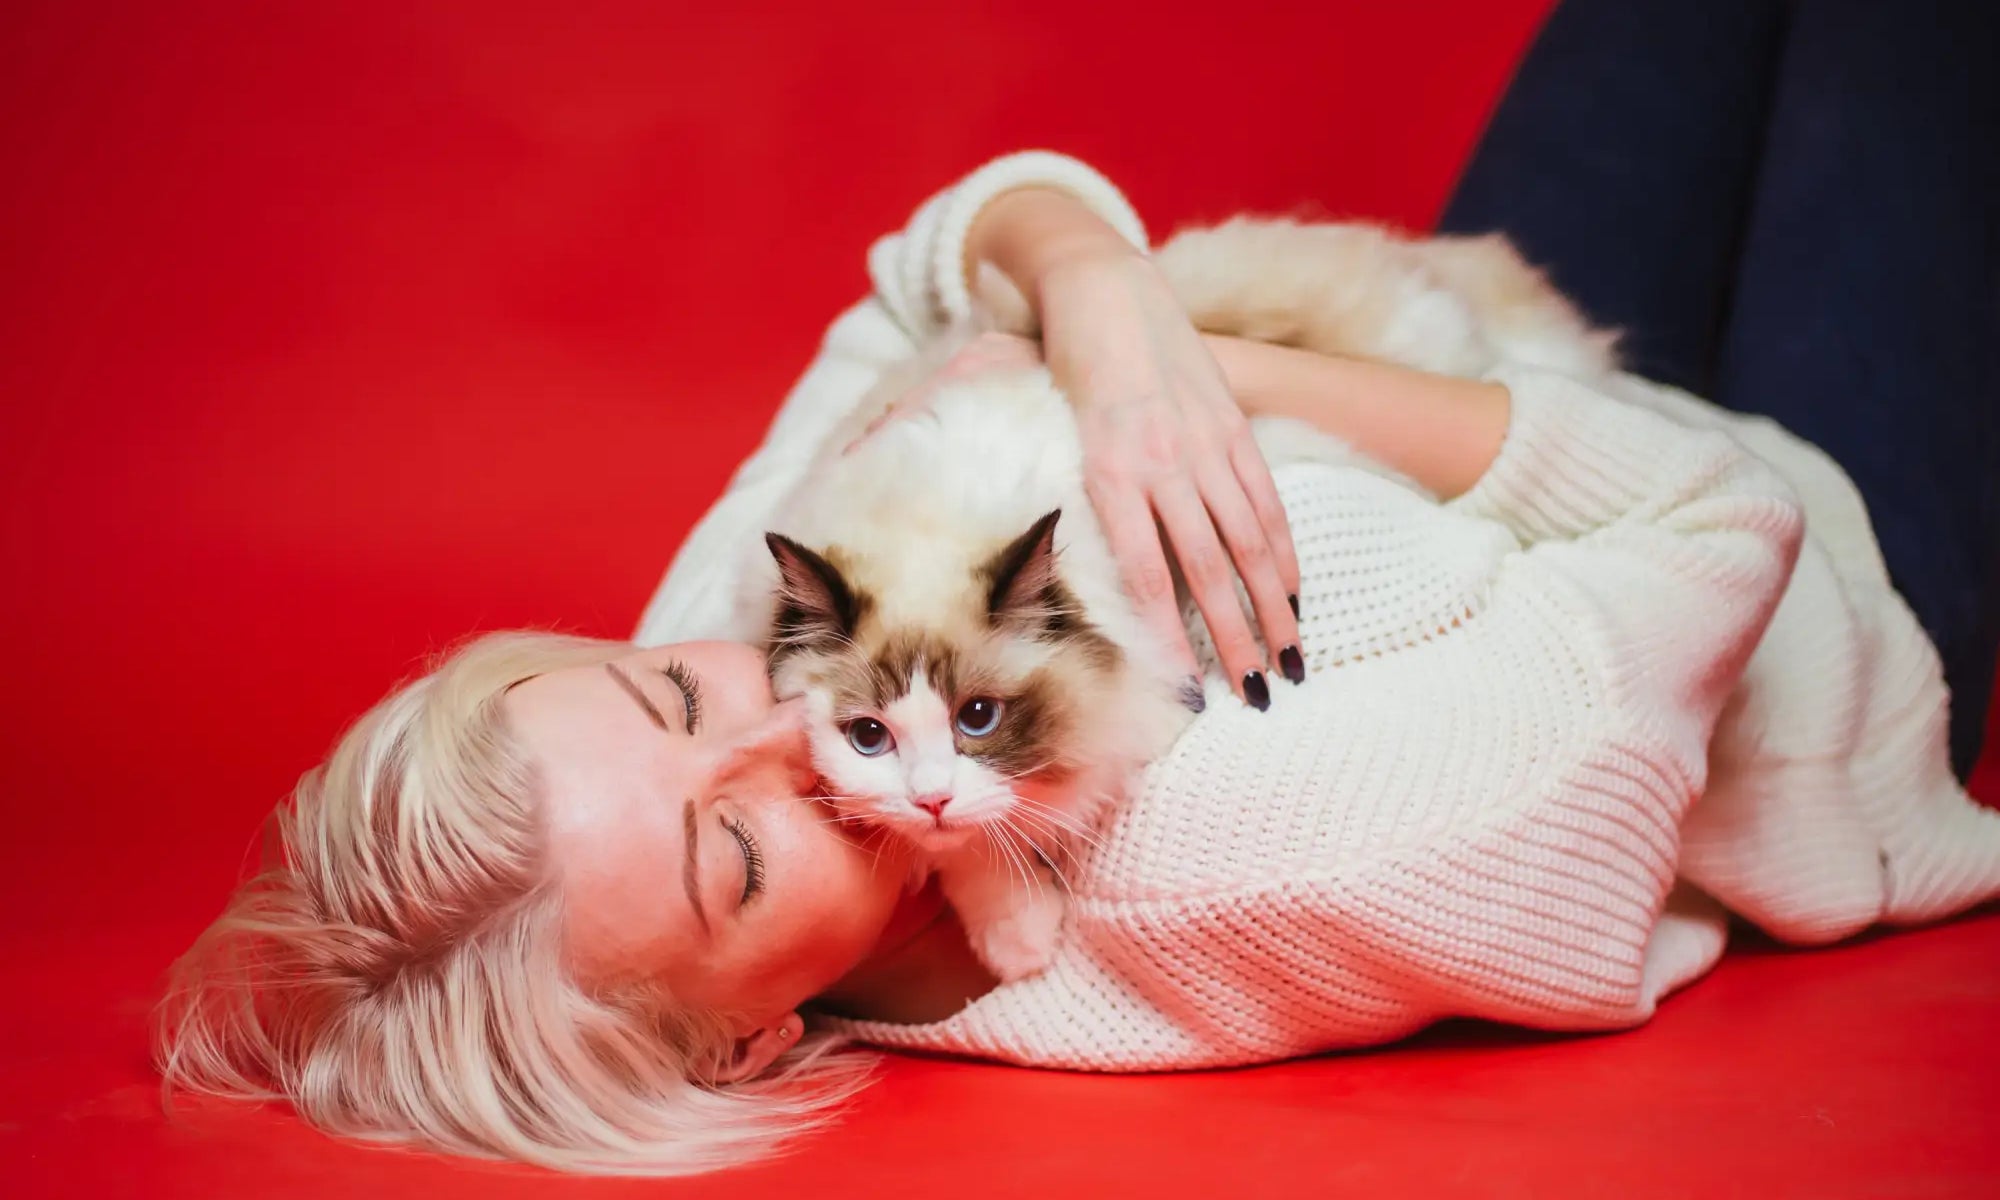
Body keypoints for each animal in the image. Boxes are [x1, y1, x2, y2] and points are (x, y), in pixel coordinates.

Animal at [748, 216, 1608, 984]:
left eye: (978, 718)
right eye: (868, 737)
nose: (928, 799)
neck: (929, 507)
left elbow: (1000, 825)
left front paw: (1020, 939)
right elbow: (970, 852)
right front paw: (1019, 941)